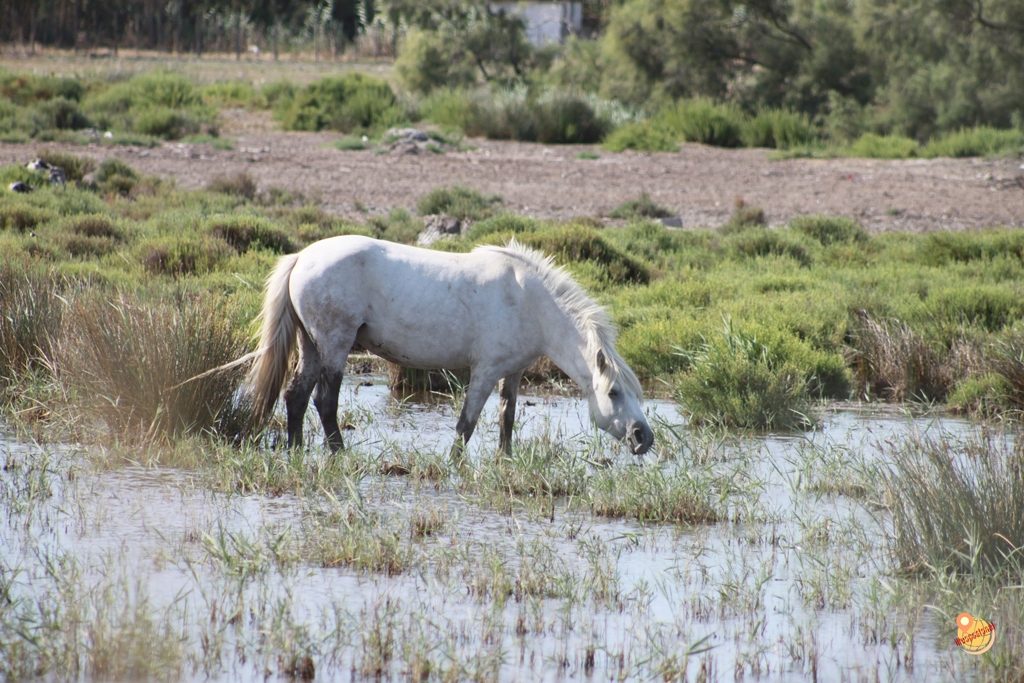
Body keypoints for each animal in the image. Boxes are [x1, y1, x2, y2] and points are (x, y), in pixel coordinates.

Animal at [227, 235, 654, 456]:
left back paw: (295, 450)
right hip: (334, 344)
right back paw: (338, 454)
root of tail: (302, 257)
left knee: (296, 397)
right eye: (613, 393)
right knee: (323, 401)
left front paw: (505, 461)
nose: (643, 438)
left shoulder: (512, 372)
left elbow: (507, 418)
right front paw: (454, 466)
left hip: (312, 344)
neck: (529, 301)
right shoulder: (485, 371)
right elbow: (467, 423)